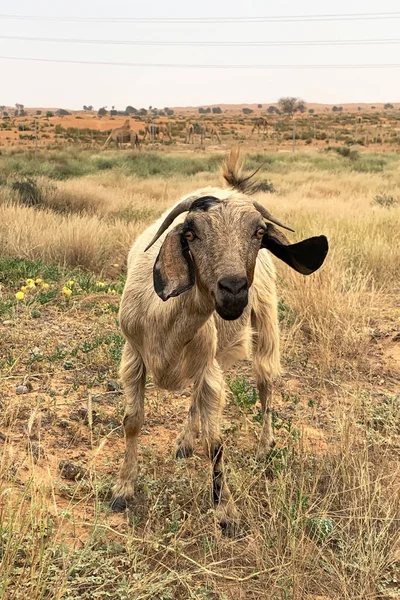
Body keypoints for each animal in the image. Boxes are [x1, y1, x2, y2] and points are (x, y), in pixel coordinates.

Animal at [113, 148, 328, 532]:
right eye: (190, 234)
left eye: (259, 232)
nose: (233, 290)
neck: (167, 320)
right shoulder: (133, 356)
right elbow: (133, 422)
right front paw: (123, 489)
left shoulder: (209, 366)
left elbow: (216, 442)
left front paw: (225, 511)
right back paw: (185, 441)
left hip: (265, 324)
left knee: (265, 384)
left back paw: (264, 446)